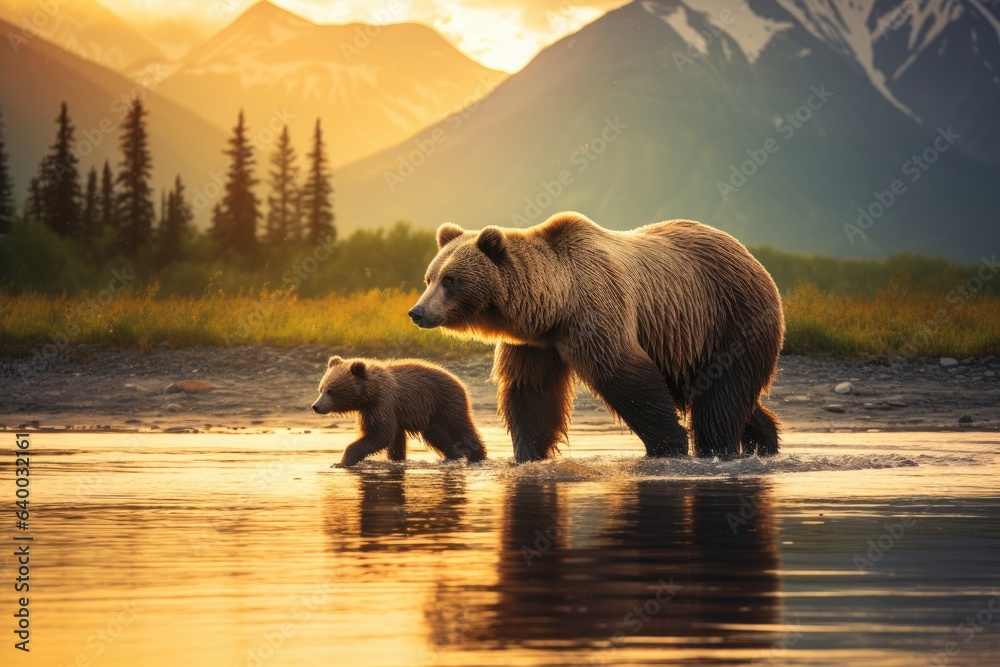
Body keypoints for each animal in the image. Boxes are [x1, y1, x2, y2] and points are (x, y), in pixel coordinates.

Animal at [311, 356, 487, 466]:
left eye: (331, 391)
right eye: (321, 389)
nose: (316, 406)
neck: (370, 392)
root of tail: (459, 381)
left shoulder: (383, 403)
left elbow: (379, 434)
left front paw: (343, 461)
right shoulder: (377, 409)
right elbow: (393, 439)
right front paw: (396, 459)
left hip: (446, 402)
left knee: (461, 427)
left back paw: (478, 456)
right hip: (431, 416)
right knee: (438, 436)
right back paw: (453, 455)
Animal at [407, 211, 784, 461]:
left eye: (451, 280)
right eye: (430, 277)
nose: (418, 312)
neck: (556, 304)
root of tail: (748, 254)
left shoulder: (596, 310)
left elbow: (623, 375)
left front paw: (669, 445)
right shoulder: (534, 343)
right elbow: (531, 391)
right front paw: (528, 453)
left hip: (729, 317)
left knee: (722, 397)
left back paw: (718, 450)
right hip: (688, 343)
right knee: (731, 397)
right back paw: (764, 442)